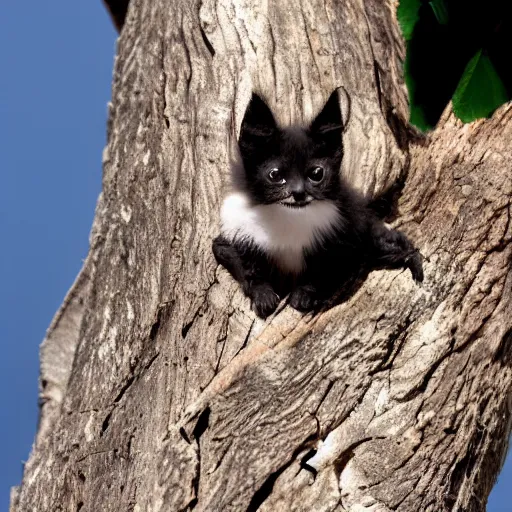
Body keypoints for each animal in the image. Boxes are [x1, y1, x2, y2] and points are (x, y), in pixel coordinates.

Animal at [212, 90, 424, 318]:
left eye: (316, 173)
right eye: (275, 175)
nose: (298, 193)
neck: (287, 216)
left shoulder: (347, 233)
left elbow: (327, 270)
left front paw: (303, 295)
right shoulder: (232, 233)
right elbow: (242, 263)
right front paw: (263, 296)